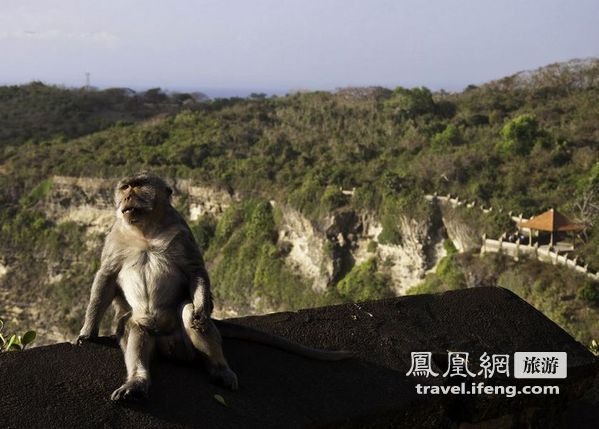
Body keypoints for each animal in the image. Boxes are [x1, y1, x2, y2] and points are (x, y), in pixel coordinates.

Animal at [79, 171, 352, 402]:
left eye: (138, 185)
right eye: (125, 187)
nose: (126, 196)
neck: (145, 231)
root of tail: (168, 346)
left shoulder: (181, 231)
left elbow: (195, 271)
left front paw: (202, 308)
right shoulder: (115, 237)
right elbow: (107, 276)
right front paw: (88, 331)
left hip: (184, 346)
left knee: (188, 314)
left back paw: (219, 368)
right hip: (154, 336)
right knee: (132, 325)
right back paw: (137, 381)